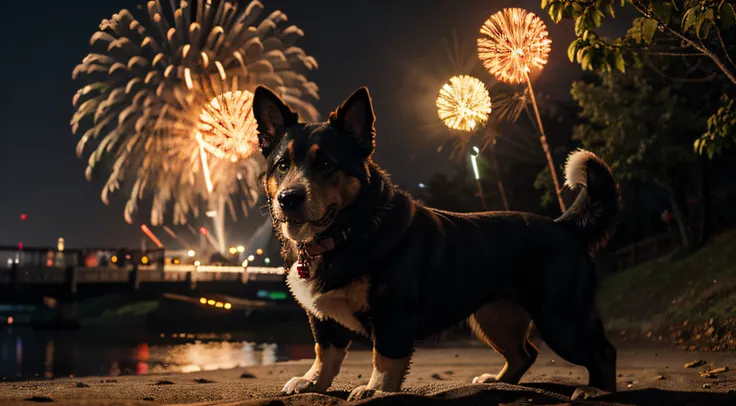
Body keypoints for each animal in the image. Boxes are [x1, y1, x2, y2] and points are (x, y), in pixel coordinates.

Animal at [250, 85, 620, 400]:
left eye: (325, 163)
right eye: (282, 165)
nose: (288, 198)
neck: (349, 231)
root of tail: (564, 226)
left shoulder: (393, 315)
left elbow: (384, 358)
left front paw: (375, 390)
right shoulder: (321, 318)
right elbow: (324, 353)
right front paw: (312, 382)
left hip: (561, 316)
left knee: (603, 352)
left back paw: (596, 391)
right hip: (494, 316)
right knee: (524, 353)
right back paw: (497, 383)